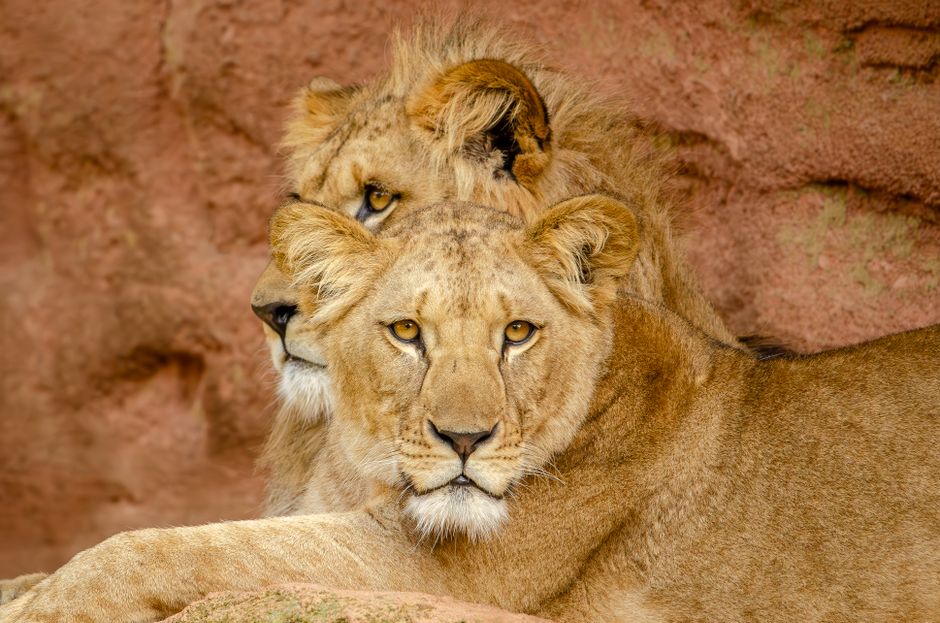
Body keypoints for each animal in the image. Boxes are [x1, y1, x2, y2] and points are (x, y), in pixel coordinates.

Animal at [3, 194, 937, 623]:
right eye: (406, 331)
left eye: (516, 331)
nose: (464, 438)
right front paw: (31, 584)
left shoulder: (446, 574)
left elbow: (172, 544)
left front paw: (50, 602)